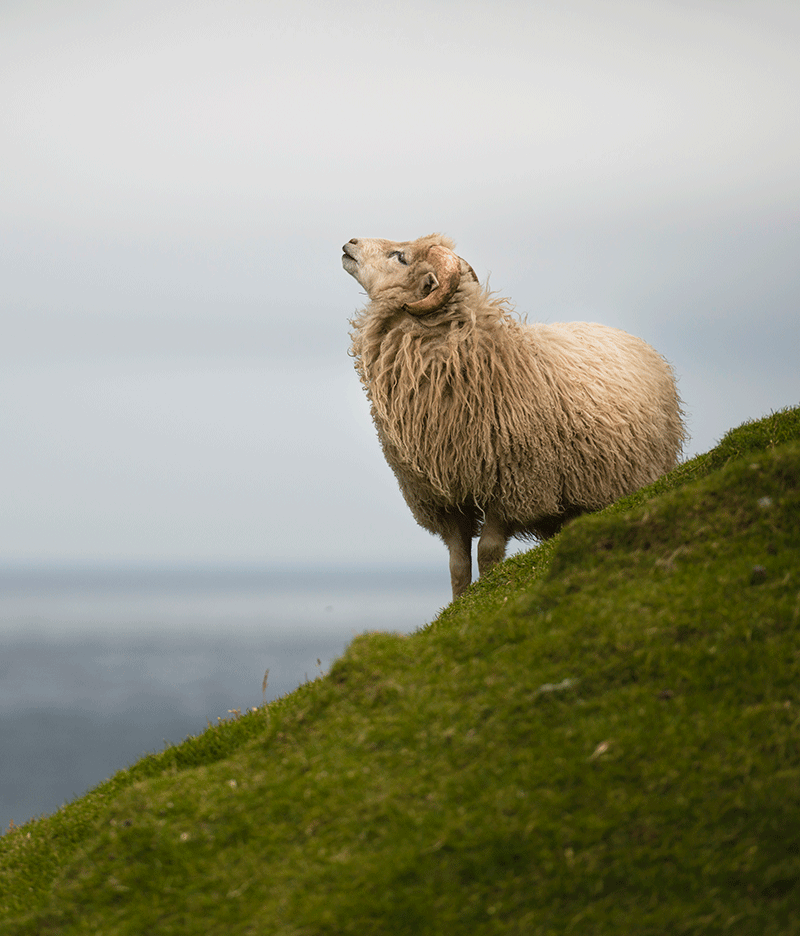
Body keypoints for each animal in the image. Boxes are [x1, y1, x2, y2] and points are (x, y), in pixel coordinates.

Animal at [343, 233, 686, 599]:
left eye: (401, 257)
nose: (350, 242)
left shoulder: (511, 487)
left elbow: (488, 551)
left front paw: (487, 591)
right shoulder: (444, 499)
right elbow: (457, 564)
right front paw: (460, 601)